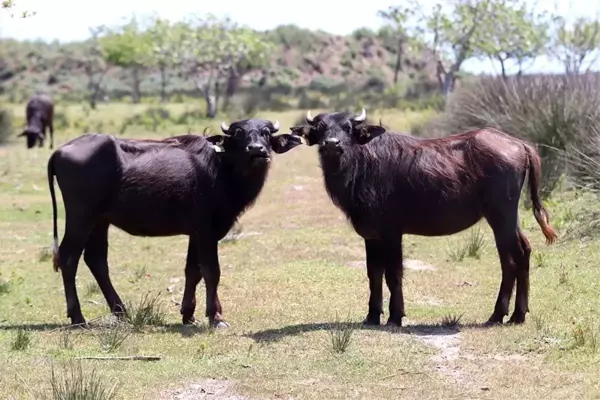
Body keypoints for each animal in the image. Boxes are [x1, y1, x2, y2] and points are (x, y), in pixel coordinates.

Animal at [45, 119, 304, 328]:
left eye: (266, 133)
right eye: (239, 134)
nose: (257, 149)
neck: (221, 169)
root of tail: (60, 150)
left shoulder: (196, 234)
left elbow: (193, 271)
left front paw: (188, 314)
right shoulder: (207, 232)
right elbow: (212, 271)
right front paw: (216, 316)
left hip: (100, 221)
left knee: (96, 260)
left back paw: (121, 312)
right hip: (80, 216)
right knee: (69, 257)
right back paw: (78, 317)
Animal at [290, 108, 556, 324]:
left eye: (348, 128)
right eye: (320, 128)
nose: (332, 143)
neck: (362, 165)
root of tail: (519, 144)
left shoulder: (391, 232)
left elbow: (393, 273)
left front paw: (396, 316)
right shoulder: (371, 235)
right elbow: (373, 273)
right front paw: (372, 316)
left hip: (501, 216)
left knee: (513, 257)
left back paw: (510, 315)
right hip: (508, 218)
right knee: (522, 251)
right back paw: (509, 314)